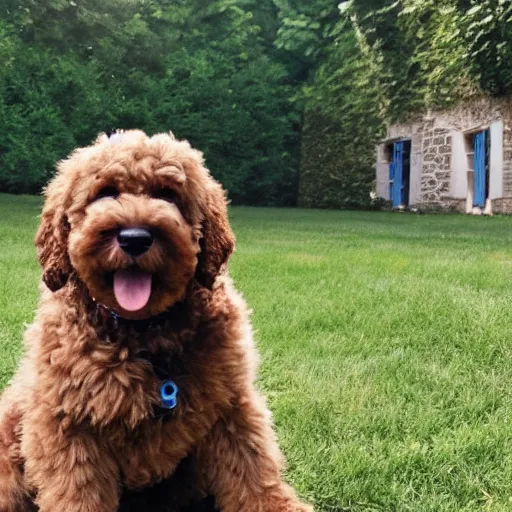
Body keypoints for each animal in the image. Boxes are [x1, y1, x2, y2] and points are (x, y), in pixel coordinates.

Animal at [0, 132, 312, 512]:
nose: (134, 238)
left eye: (168, 194)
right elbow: (77, 493)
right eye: (105, 192)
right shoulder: (67, 425)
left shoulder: (231, 407)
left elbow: (252, 470)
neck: (141, 332)